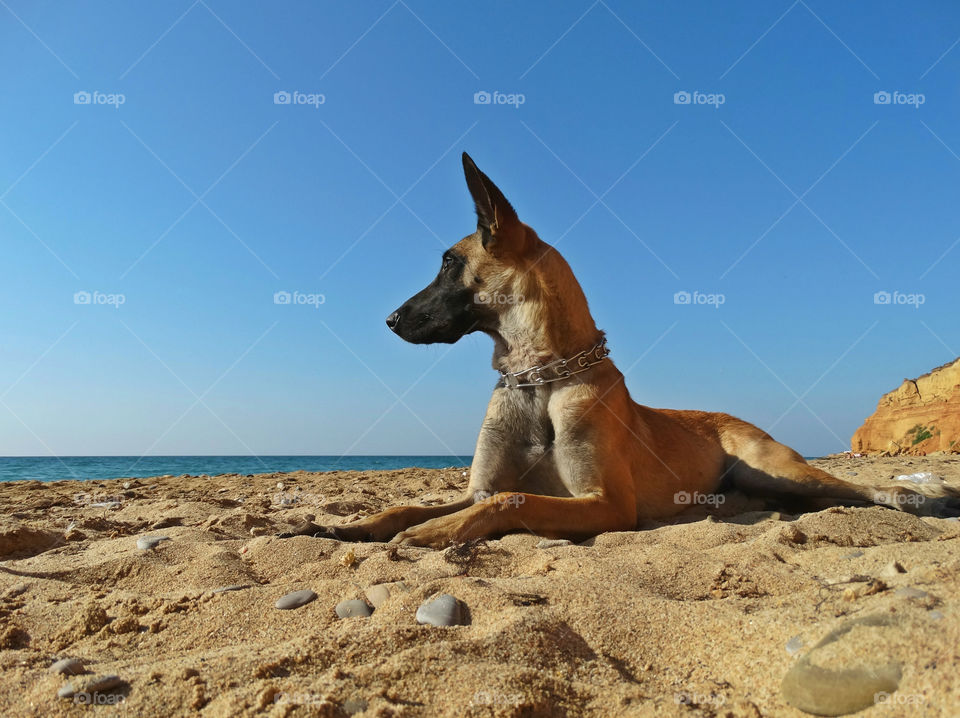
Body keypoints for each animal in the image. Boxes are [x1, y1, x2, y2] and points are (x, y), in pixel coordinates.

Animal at [280, 152, 960, 544]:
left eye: (449, 263)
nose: (390, 319)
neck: (541, 378)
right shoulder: (478, 486)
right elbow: (404, 510)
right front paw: (338, 527)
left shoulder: (606, 504)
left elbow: (511, 497)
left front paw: (439, 532)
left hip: (776, 464)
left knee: (849, 489)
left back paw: (920, 498)